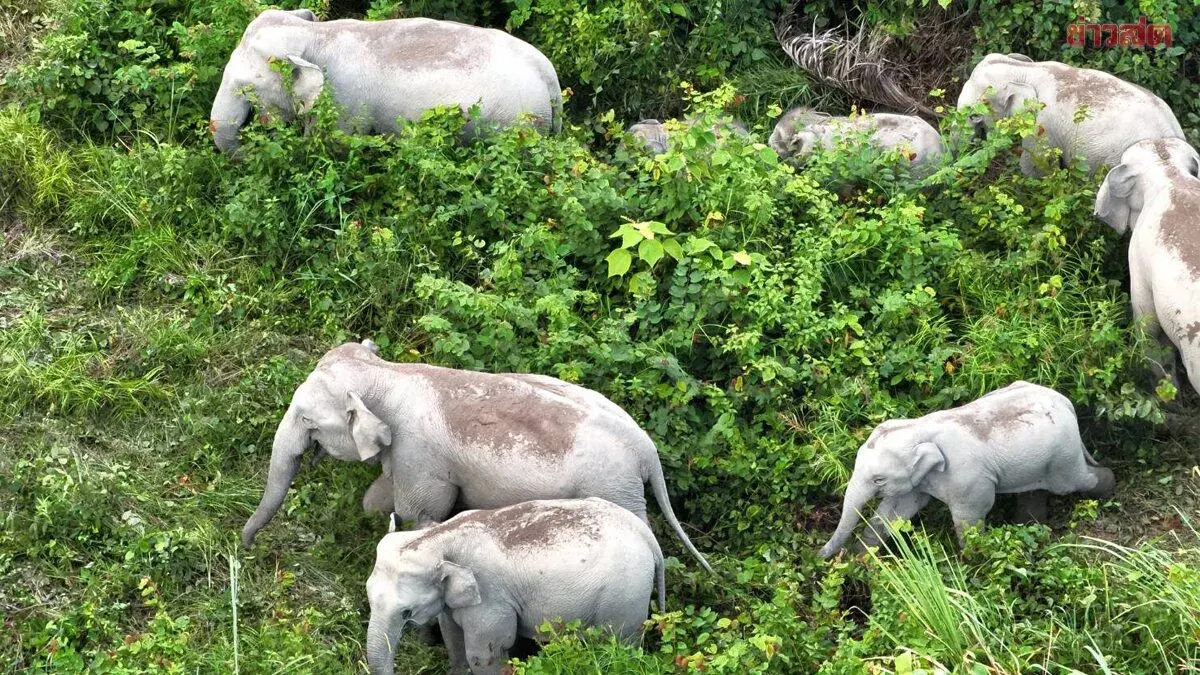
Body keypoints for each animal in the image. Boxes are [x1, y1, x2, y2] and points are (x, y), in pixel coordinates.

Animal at [210, 9, 562, 154]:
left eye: (247, 89)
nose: (250, 152)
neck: (315, 34)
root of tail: (549, 76)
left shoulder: (345, 103)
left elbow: (331, 147)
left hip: (516, 123)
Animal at [241, 339, 714, 574]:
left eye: (308, 420)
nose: (244, 548)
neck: (389, 372)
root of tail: (647, 450)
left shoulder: (420, 455)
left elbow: (420, 514)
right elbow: (378, 499)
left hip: (613, 486)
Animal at [366, 498, 664, 675]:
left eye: (406, 612)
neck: (439, 537)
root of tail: (648, 537)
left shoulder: (490, 598)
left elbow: (484, 653)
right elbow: (452, 637)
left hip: (625, 594)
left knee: (619, 641)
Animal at [819, 381, 1114, 559]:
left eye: (879, 480)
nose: (819, 557)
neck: (920, 427)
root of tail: (1066, 402)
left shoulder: (967, 479)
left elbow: (969, 518)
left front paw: (973, 564)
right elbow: (898, 511)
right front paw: (861, 558)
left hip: (1063, 455)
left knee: (1075, 482)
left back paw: (1110, 485)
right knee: (1034, 490)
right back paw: (1030, 528)